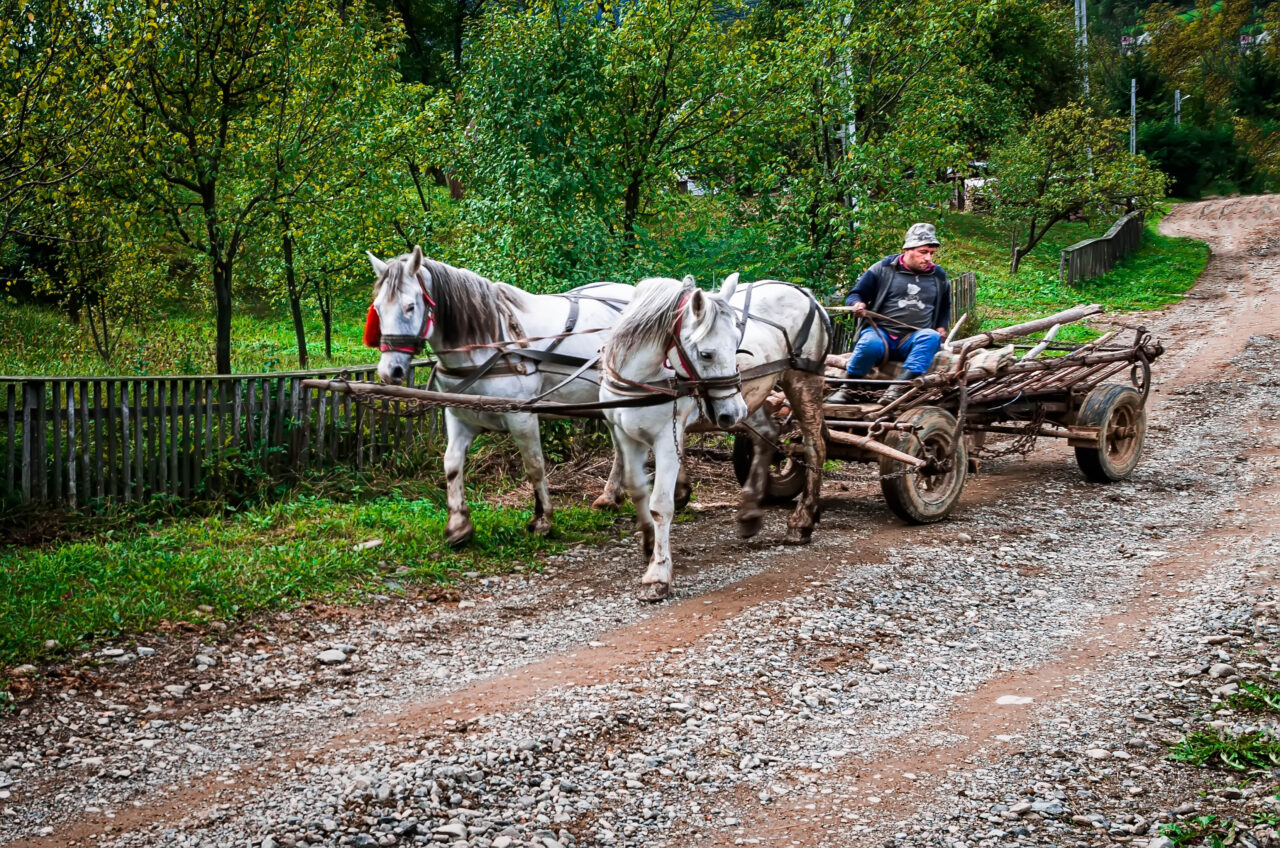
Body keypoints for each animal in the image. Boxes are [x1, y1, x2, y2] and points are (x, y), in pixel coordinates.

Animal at [366, 247, 634, 545]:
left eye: (410, 307)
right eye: (378, 309)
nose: (390, 371)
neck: (490, 344)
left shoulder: (522, 417)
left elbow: (534, 465)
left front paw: (542, 520)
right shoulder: (460, 416)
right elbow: (452, 464)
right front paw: (458, 525)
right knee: (620, 443)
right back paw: (610, 496)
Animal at [599, 275, 747, 602]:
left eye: (737, 345)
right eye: (706, 354)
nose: (735, 412)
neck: (641, 382)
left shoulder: (667, 439)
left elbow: (660, 505)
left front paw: (658, 575)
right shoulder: (627, 436)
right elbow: (637, 488)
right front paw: (648, 542)